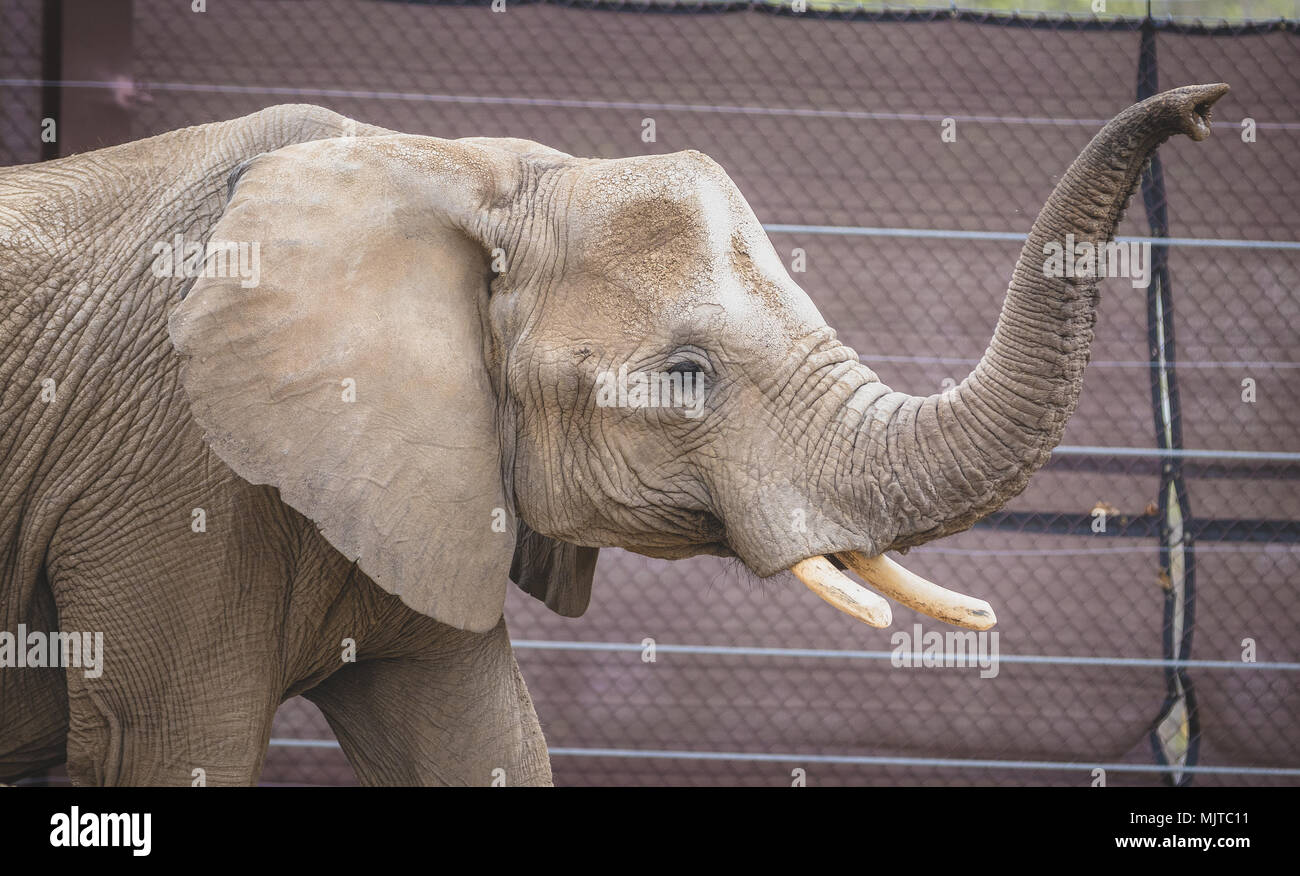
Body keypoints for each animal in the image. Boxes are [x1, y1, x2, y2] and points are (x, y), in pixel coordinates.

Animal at [0, 83, 1227, 785]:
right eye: (685, 377)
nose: (1203, 111)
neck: (453, 168)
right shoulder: (168, 477)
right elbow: (177, 745)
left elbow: (480, 741)